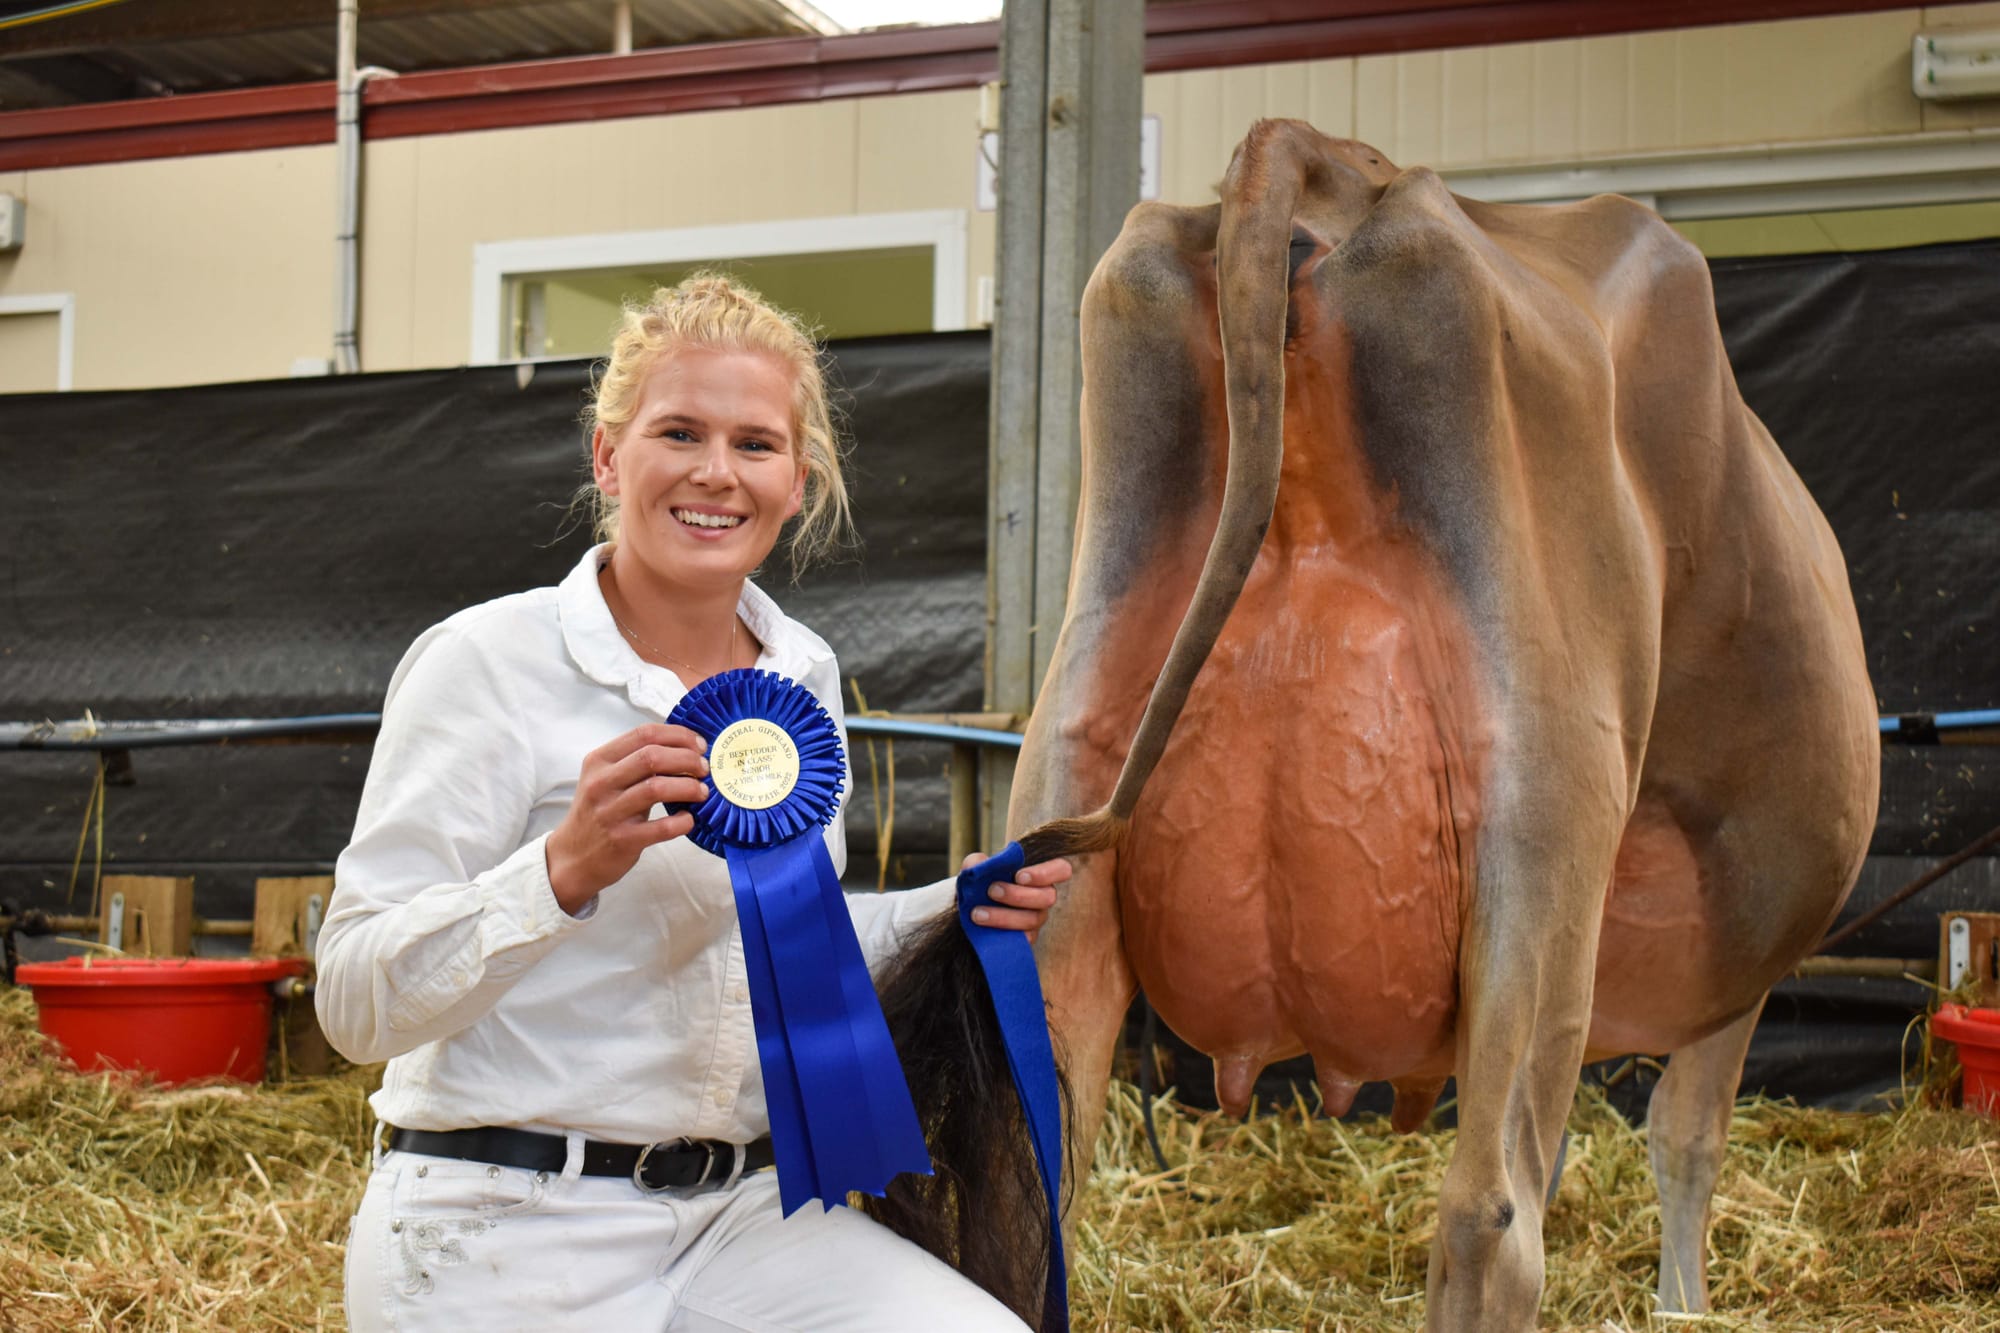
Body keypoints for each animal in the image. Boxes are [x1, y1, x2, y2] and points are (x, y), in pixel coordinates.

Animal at [870, 119, 1880, 1332]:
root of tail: (1312, 158)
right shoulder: (1733, 951)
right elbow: (1686, 1138)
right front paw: (1684, 1303)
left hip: (1072, 763)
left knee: (1035, 1175)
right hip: (1543, 837)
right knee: (1492, 1210)